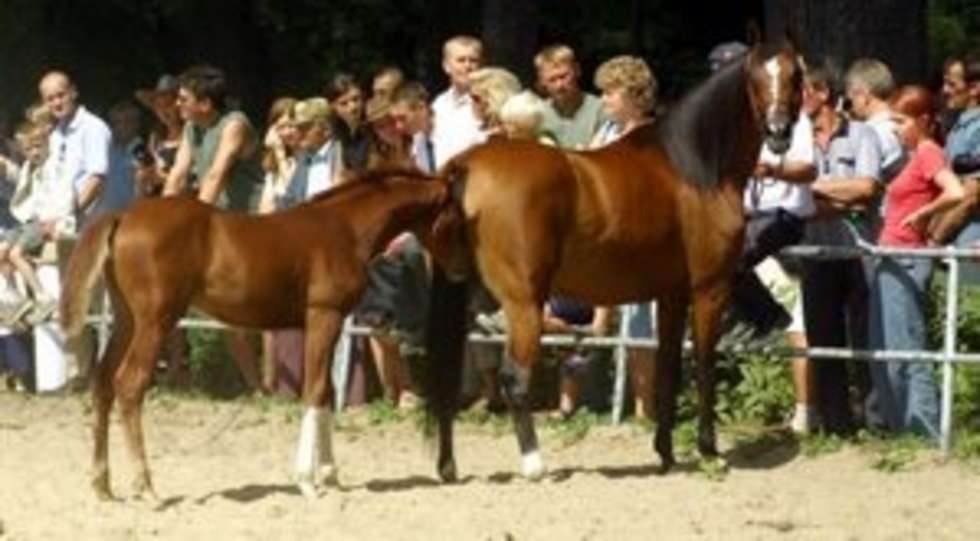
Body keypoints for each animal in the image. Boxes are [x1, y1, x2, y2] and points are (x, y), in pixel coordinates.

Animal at [63, 170, 454, 498]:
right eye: (456, 214)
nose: (458, 273)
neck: (344, 228)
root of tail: (123, 216)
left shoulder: (326, 323)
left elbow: (327, 392)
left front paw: (329, 474)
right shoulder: (323, 316)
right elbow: (314, 391)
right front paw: (306, 481)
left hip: (127, 320)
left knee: (103, 383)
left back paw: (102, 485)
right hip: (155, 321)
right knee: (129, 384)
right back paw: (146, 487)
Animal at [422, 34, 804, 480]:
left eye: (796, 74)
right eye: (756, 76)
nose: (779, 132)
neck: (693, 169)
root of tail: (466, 165)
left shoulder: (671, 295)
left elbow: (668, 368)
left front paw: (666, 453)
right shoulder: (709, 289)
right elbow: (704, 365)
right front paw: (709, 451)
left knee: (447, 373)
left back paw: (448, 466)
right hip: (524, 304)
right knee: (514, 378)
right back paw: (534, 464)